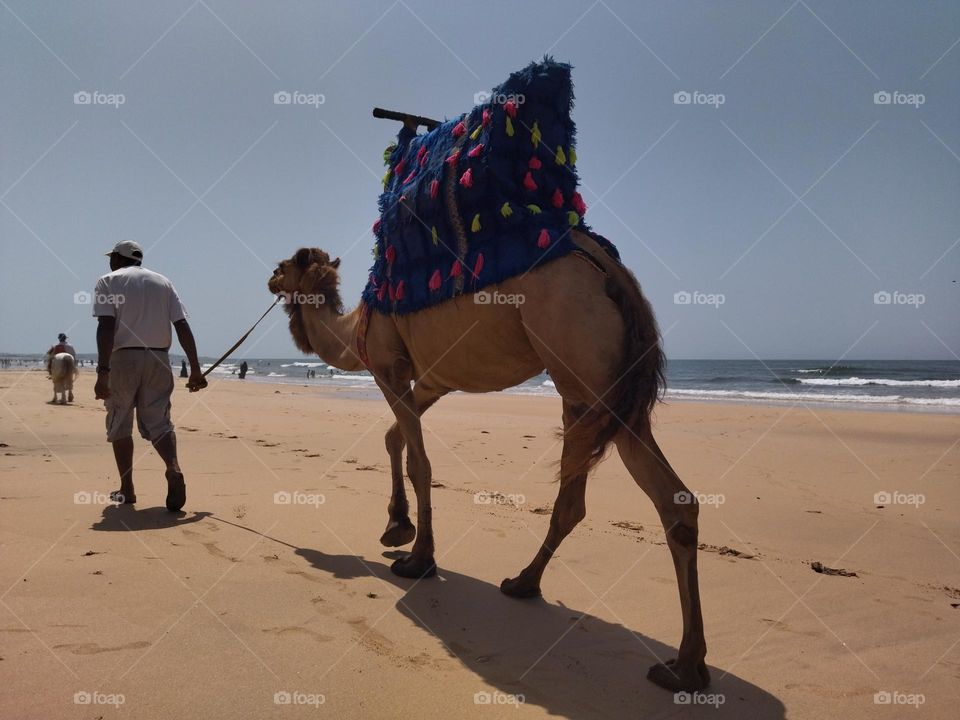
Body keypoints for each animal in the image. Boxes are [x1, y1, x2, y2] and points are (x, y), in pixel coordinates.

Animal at [268, 235, 709, 692]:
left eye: (283, 266)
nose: (270, 281)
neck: (353, 328)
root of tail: (616, 274)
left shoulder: (389, 367)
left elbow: (420, 463)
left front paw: (419, 559)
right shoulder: (432, 381)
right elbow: (394, 439)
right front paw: (397, 526)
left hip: (582, 360)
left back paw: (678, 664)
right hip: (609, 396)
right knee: (654, 500)